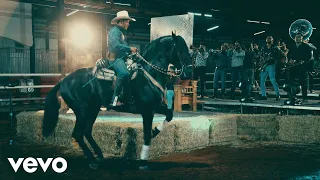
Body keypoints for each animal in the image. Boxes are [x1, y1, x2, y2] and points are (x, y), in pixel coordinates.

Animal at [42, 33, 192, 169]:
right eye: (181, 49)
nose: (189, 72)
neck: (149, 73)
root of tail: (63, 81)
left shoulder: (156, 107)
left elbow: (169, 115)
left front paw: (155, 131)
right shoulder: (147, 111)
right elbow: (146, 136)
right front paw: (143, 161)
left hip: (93, 109)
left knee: (87, 131)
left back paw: (99, 155)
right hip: (82, 110)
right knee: (78, 134)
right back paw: (92, 161)